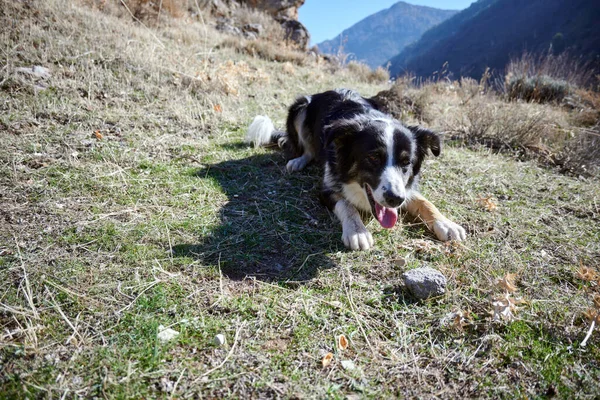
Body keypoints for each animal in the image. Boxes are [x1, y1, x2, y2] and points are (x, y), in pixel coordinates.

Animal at [246, 89, 466, 250]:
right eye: (373, 157)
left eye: (406, 162)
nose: (395, 199)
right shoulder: (327, 187)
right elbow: (346, 203)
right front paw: (357, 231)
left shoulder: (405, 189)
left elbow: (424, 201)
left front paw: (446, 223)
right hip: (301, 107)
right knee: (307, 149)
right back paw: (298, 161)